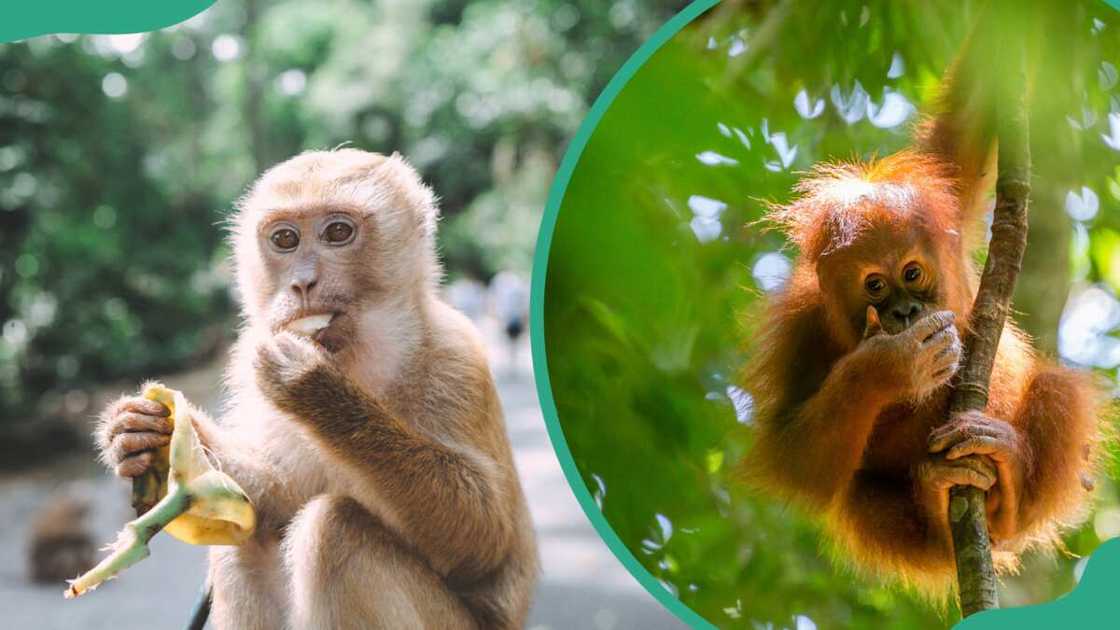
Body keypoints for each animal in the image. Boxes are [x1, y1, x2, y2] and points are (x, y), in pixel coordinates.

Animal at [94, 149, 538, 629]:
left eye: (338, 233)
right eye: (285, 239)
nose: (302, 282)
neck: (357, 356)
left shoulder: (456, 360)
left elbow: (484, 541)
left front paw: (314, 388)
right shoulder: (249, 355)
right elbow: (276, 497)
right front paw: (136, 434)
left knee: (337, 532)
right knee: (246, 545)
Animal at [740, 55, 1106, 596]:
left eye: (912, 273)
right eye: (874, 285)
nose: (905, 314)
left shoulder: (946, 201)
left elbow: (972, 114)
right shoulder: (798, 329)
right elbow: (793, 458)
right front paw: (889, 366)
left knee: (1057, 390)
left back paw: (1009, 480)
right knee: (856, 495)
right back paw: (937, 512)